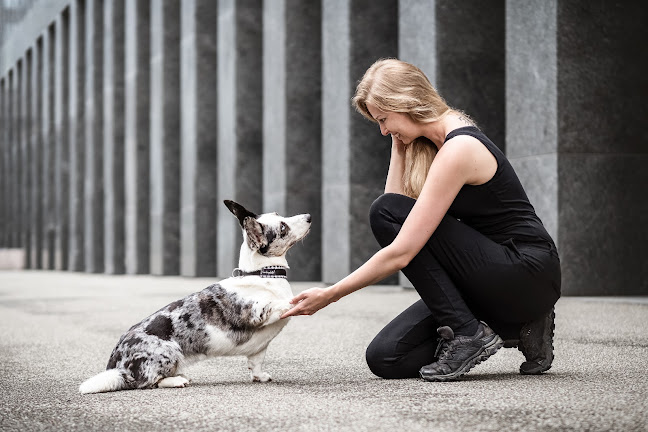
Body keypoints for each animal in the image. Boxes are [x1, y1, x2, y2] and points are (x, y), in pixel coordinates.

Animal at [78, 201, 312, 394]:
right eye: (283, 227)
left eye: (279, 215)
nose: (309, 216)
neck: (262, 274)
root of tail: (117, 366)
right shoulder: (257, 311)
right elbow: (283, 303)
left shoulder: (259, 349)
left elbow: (256, 364)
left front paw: (260, 377)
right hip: (169, 353)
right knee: (147, 382)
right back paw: (176, 380)